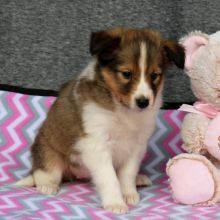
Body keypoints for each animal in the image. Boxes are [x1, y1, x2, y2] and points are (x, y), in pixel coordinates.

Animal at [16, 27, 184, 215]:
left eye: (154, 75)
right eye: (126, 74)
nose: (143, 102)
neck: (122, 109)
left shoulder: (137, 145)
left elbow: (127, 173)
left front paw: (128, 193)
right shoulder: (96, 144)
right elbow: (109, 178)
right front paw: (115, 202)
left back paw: (139, 179)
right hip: (48, 154)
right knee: (44, 172)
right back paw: (47, 185)